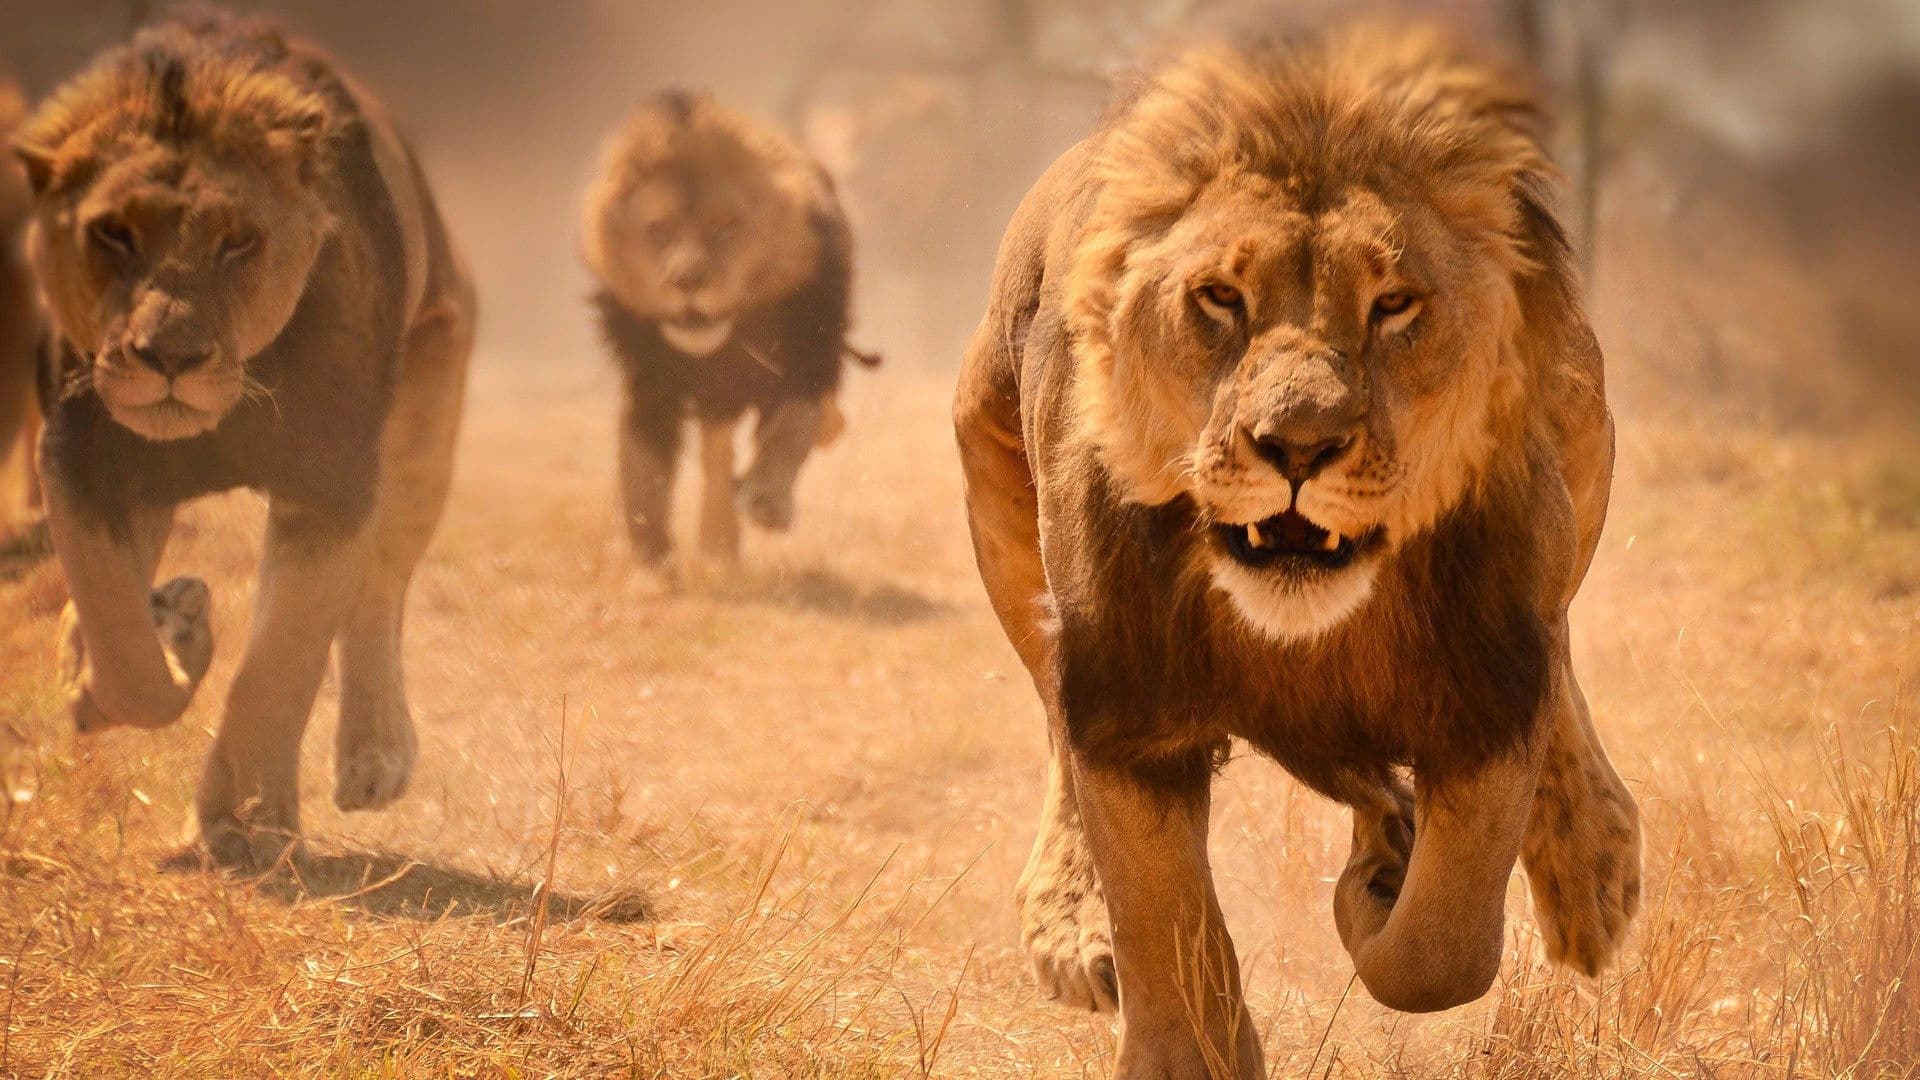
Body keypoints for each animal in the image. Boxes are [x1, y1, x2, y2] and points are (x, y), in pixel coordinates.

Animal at [16, 11, 474, 869]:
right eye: (113, 235)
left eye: (238, 242)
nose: (170, 357)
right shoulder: (80, 465)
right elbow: (122, 647)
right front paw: (169, 638)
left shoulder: (332, 488)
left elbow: (280, 664)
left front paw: (246, 826)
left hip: (428, 413)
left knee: (380, 593)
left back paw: (375, 756)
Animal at [583, 90, 873, 570]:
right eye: (659, 229)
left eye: (725, 227)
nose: (687, 281)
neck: (723, 345)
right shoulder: (648, 383)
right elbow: (643, 469)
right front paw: (650, 559)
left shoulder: (807, 358)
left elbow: (793, 427)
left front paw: (768, 501)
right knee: (716, 452)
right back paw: (717, 544)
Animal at [954, 24, 1640, 1077]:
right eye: (1219, 298)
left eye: (1394, 304)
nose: (1299, 446)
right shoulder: (1121, 698)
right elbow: (1164, 920)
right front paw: (1192, 1030)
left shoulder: (1492, 678)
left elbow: (1442, 947)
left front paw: (1380, 891)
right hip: (993, 490)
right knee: (1054, 734)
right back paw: (1079, 932)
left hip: (1582, 456)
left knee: (1559, 659)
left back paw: (1584, 864)